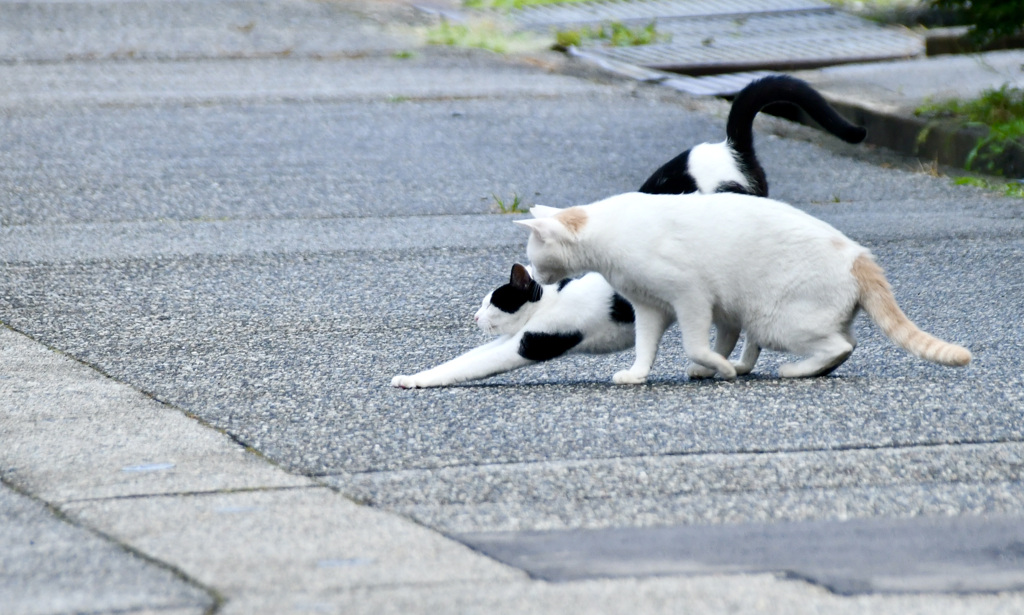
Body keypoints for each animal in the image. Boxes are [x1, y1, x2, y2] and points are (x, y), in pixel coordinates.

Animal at [389, 260, 634, 386]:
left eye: (491, 304)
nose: (475, 316)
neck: (550, 301)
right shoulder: (514, 337)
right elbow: (461, 360)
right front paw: (410, 376)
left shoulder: (530, 342)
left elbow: (472, 365)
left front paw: (415, 381)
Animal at [516, 193, 970, 384]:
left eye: (534, 254)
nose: (533, 276)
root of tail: (860, 255)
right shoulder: (652, 308)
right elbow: (650, 347)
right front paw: (640, 374)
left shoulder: (691, 297)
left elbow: (696, 344)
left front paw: (720, 367)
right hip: (756, 313)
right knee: (838, 341)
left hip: (777, 320)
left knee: (840, 345)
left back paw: (794, 370)